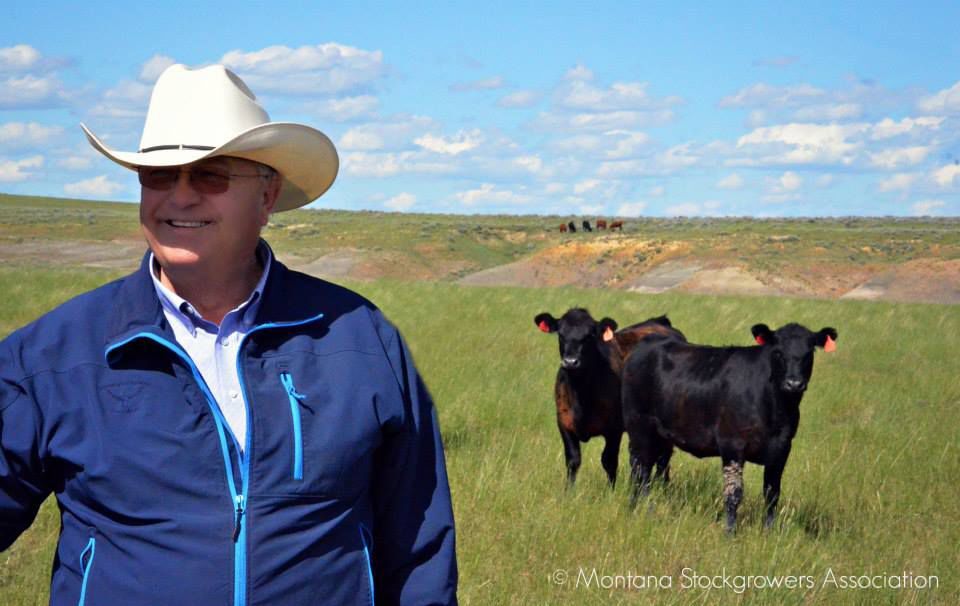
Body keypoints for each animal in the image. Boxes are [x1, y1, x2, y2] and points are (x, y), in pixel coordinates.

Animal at [536, 312, 688, 492]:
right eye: (561, 335)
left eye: (589, 336)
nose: (570, 362)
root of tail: (660, 322)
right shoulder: (564, 423)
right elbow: (573, 460)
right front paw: (569, 492)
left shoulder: (613, 429)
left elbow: (608, 460)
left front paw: (610, 491)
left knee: (663, 456)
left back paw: (661, 485)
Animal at [624, 324, 832, 532]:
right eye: (778, 352)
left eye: (809, 353)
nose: (794, 384)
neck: (775, 407)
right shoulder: (732, 444)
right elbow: (734, 493)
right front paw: (730, 532)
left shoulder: (782, 447)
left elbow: (772, 493)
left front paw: (769, 531)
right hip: (639, 427)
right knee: (640, 471)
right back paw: (640, 509)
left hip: (660, 436)